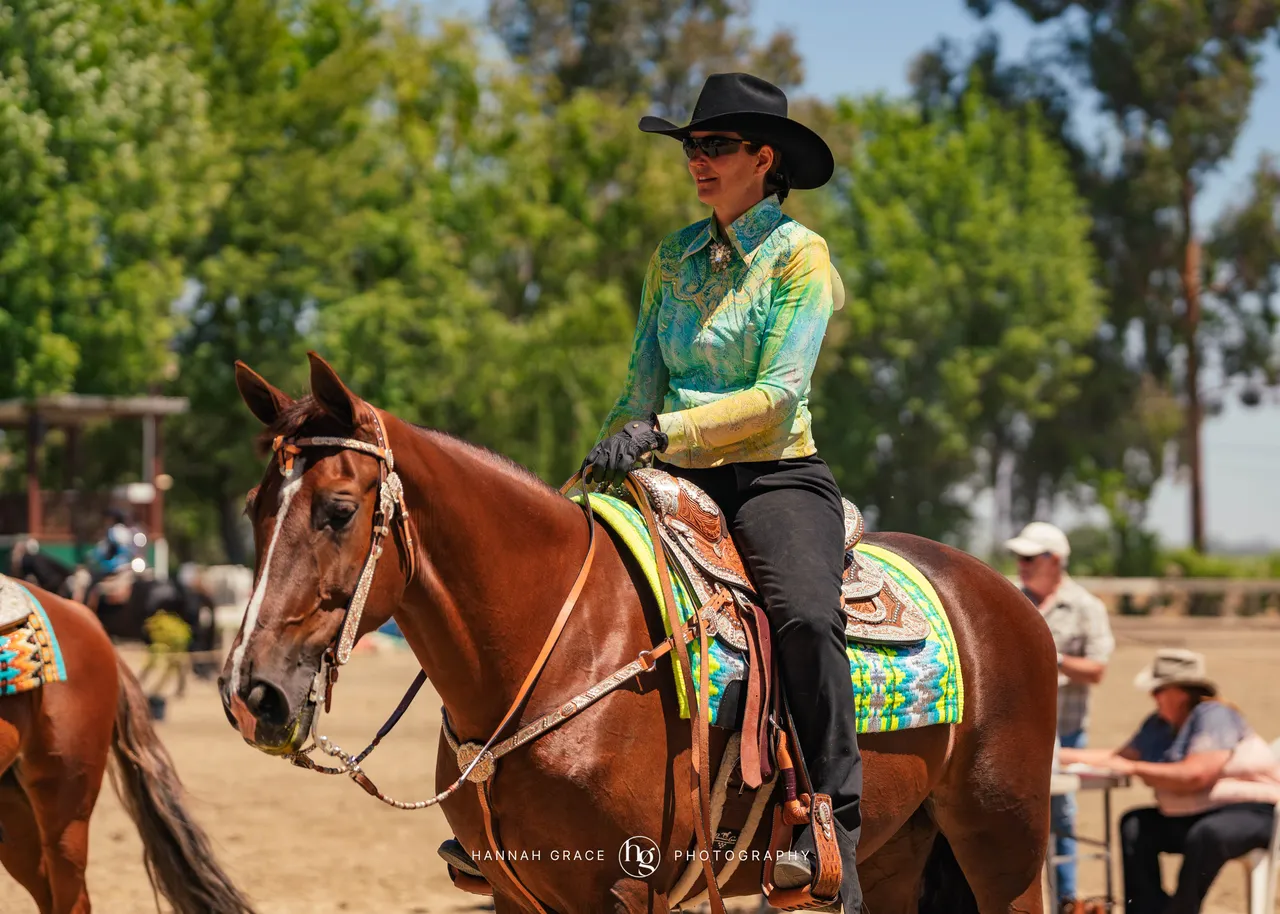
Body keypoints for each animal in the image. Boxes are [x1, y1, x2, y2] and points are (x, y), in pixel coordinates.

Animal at [219, 352, 1058, 914]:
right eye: (253, 508)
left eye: (337, 510)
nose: (252, 693)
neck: (559, 646)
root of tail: (1005, 597)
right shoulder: (519, 896)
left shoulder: (626, 888)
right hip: (898, 856)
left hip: (1004, 845)